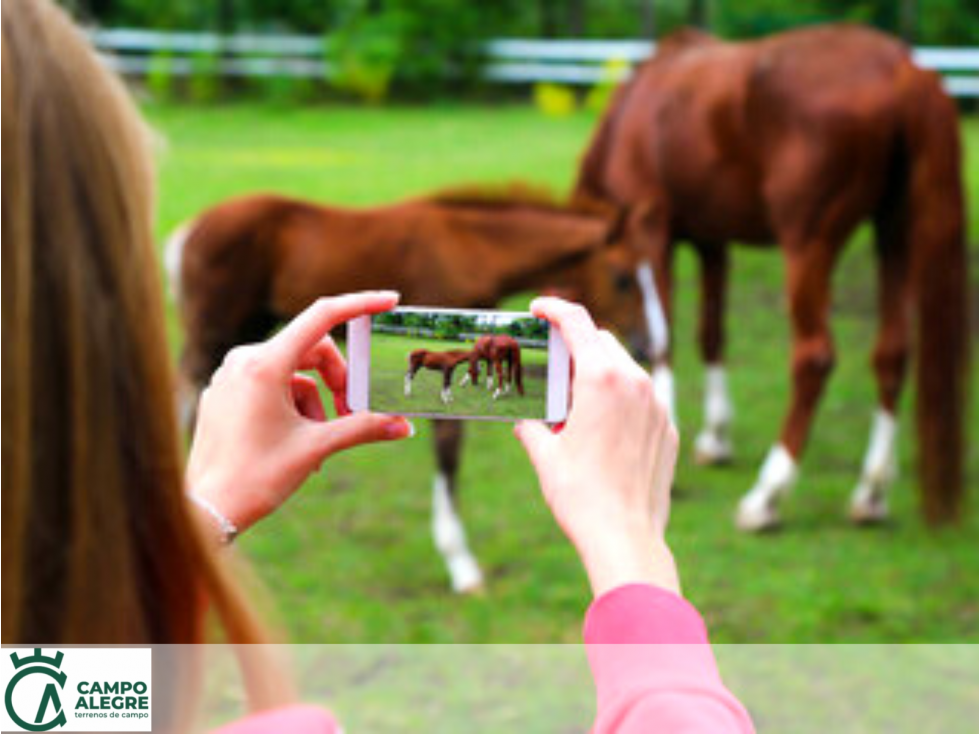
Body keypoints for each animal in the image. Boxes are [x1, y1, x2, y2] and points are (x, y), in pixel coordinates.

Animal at [167, 183, 644, 592]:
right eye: (622, 277)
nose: (643, 343)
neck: (470, 245)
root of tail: (187, 232)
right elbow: (448, 449)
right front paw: (461, 565)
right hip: (215, 330)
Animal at [580, 25, 968, 532]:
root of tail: (903, 67)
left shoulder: (654, 236)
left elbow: (665, 338)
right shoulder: (711, 242)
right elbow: (711, 334)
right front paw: (715, 439)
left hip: (807, 244)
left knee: (814, 359)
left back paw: (767, 496)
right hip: (894, 235)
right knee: (892, 354)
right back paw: (870, 493)